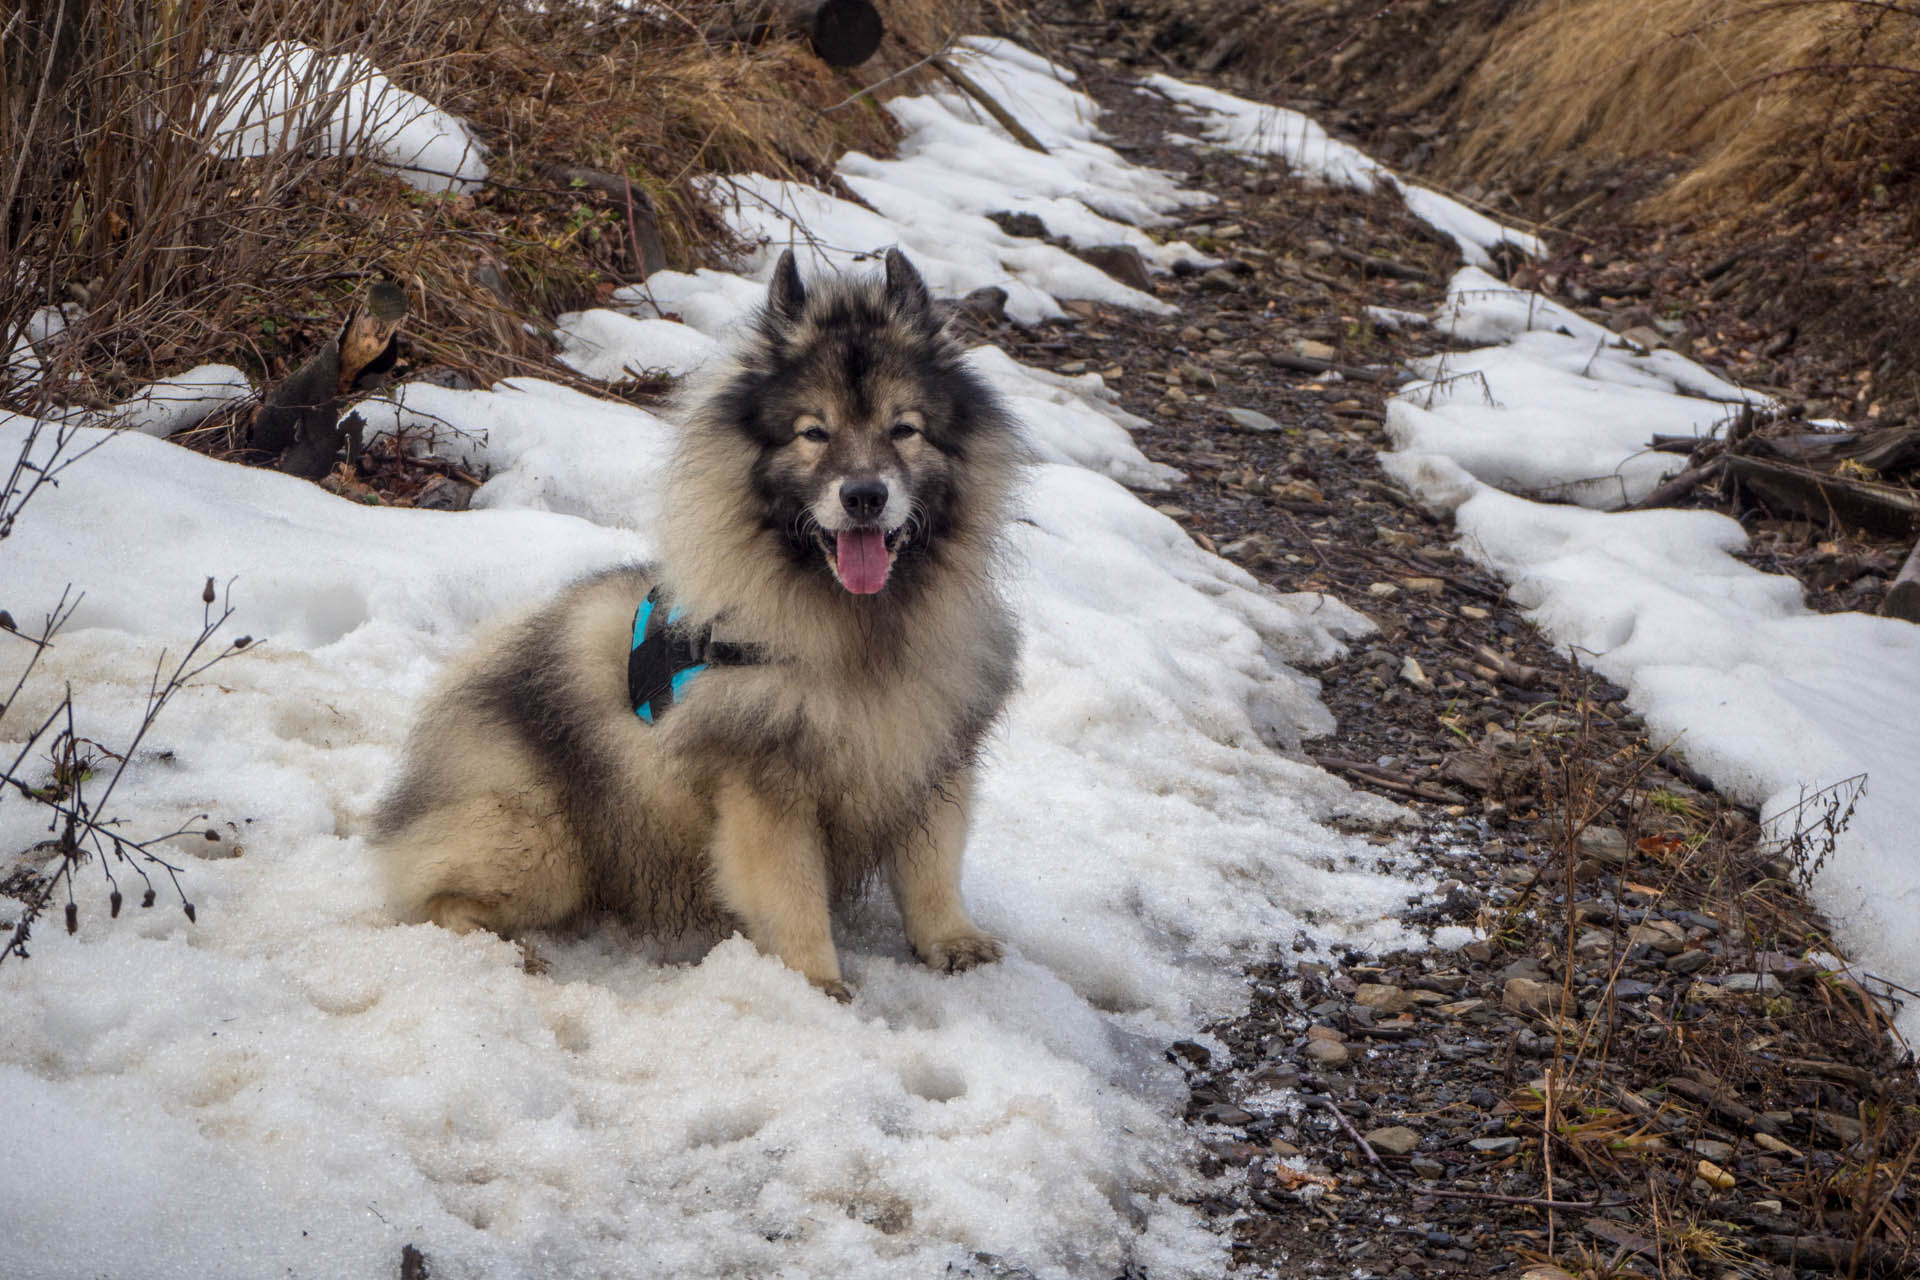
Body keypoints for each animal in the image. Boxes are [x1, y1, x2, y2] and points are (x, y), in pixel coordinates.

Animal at [378, 245, 1036, 997]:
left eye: (905, 429)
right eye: (814, 433)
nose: (865, 495)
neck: (856, 632)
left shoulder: (929, 758)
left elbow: (931, 870)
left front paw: (952, 942)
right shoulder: (767, 789)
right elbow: (791, 893)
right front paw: (812, 984)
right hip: (541, 841)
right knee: (437, 895)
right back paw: (511, 954)